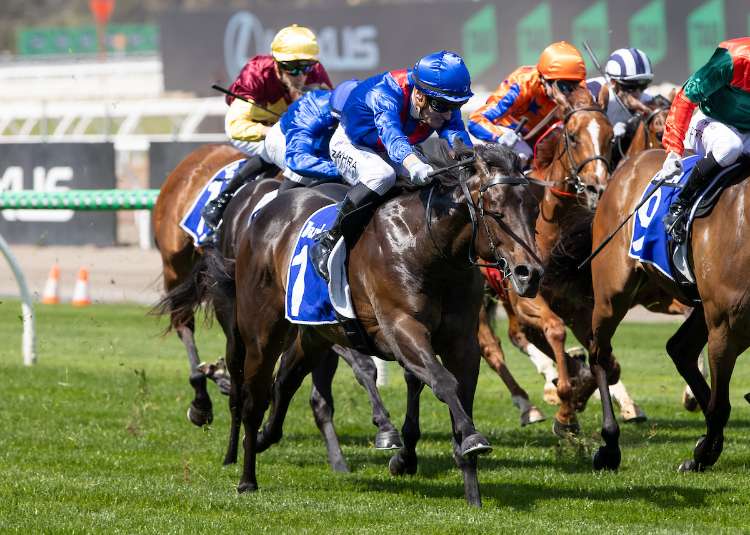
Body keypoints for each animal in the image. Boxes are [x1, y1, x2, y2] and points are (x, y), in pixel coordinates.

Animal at [190, 142, 543, 506]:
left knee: (285, 379)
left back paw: (264, 437)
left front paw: (469, 488)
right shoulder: (400, 327)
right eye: (496, 210)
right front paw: (468, 439)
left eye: (534, 208)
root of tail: (260, 215)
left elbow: (455, 390)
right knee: (253, 396)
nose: (529, 273)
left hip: (315, 332)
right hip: (260, 331)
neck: (427, 246)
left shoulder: (460, 342)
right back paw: (246, 475)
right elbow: (443, 382)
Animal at [588, 147, 750, 471]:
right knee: (599, 354)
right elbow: (720, 405)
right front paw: (702, 454)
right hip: (612, 294)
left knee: (680, 349)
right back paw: (610, 445)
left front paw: (705, 448)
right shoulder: (725, 328)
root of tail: (629, 163)